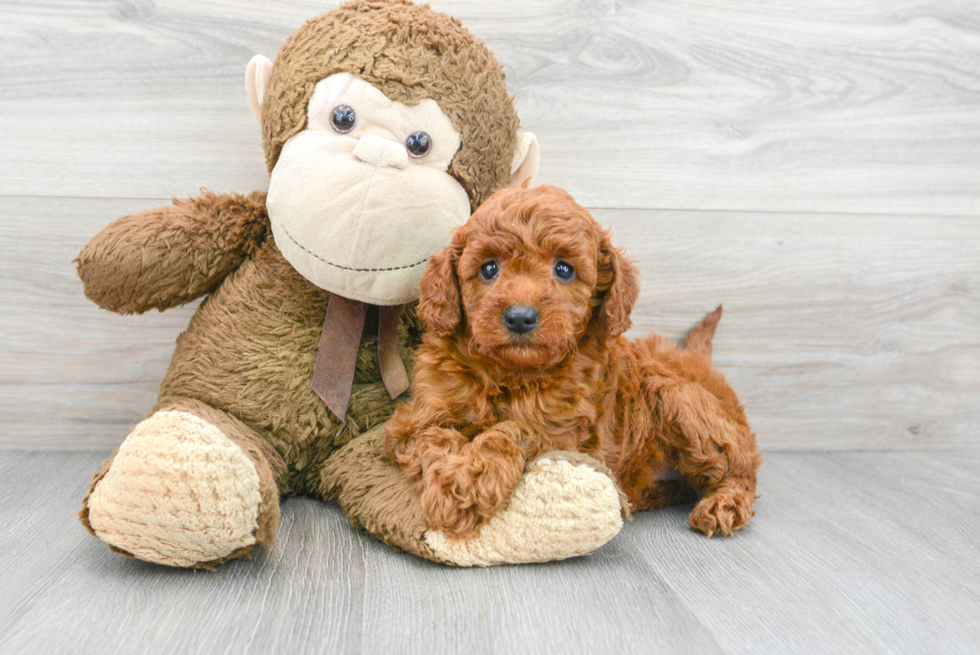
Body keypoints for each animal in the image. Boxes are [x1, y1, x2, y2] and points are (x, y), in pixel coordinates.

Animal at [386, 183, 760, 540]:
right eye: (489, 268)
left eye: (564, 269)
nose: (520, 317)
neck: (511, 374)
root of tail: (692, 359)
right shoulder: (415, 420)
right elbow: (436, 437)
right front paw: (454, 484)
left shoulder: (565, 434)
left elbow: (513, 429)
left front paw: (471, 479)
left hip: (678, 397)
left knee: (740, 466)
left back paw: (724, 503)